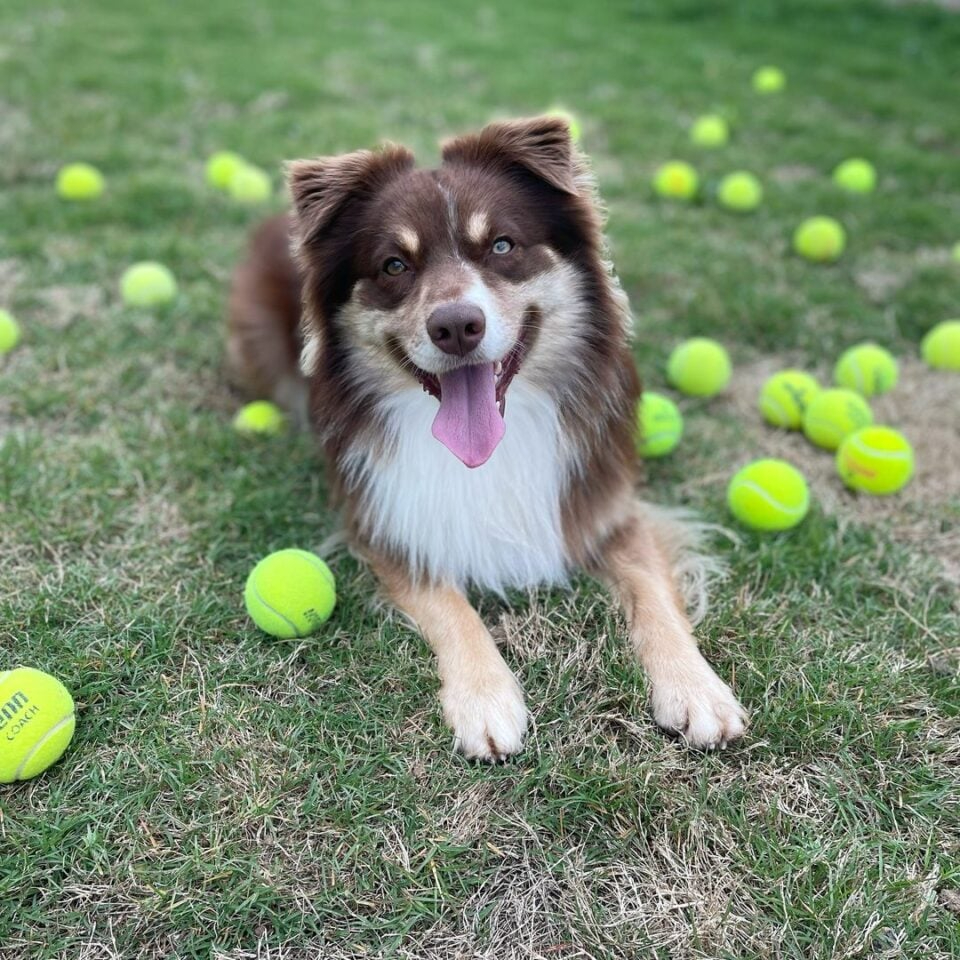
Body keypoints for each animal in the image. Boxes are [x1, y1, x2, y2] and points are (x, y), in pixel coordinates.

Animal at [227, 114, 752, 756]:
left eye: (502, 245)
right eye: (394, 265)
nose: (456, 326)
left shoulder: (607, 503)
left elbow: (653, 592)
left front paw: (696, 688)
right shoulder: (388, 519)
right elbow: (450, 606)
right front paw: (485, 699)